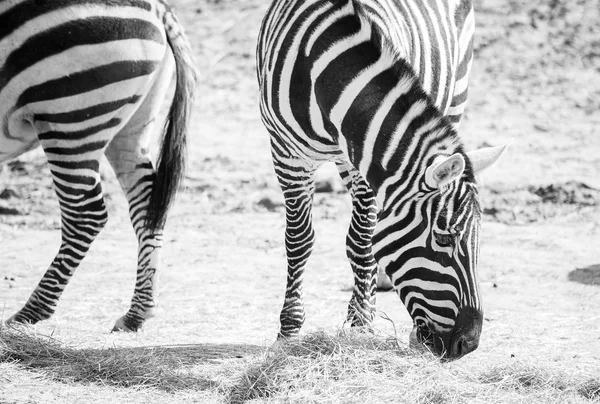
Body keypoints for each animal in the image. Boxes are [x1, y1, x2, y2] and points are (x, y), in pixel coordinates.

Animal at [0, 0, 197, 332]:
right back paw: (137, 313)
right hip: (130, 124)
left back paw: (31, 312)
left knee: (85, 216)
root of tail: (157, 8)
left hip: (70, 115)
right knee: (147, 205)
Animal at [255, 0, 508, 360]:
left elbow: (362, 243)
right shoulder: (287, 154)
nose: (468, 345)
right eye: (443, 238)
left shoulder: (365, 162)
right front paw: (289, 332)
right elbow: (299, 241)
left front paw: (361, 325)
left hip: (457, 90)